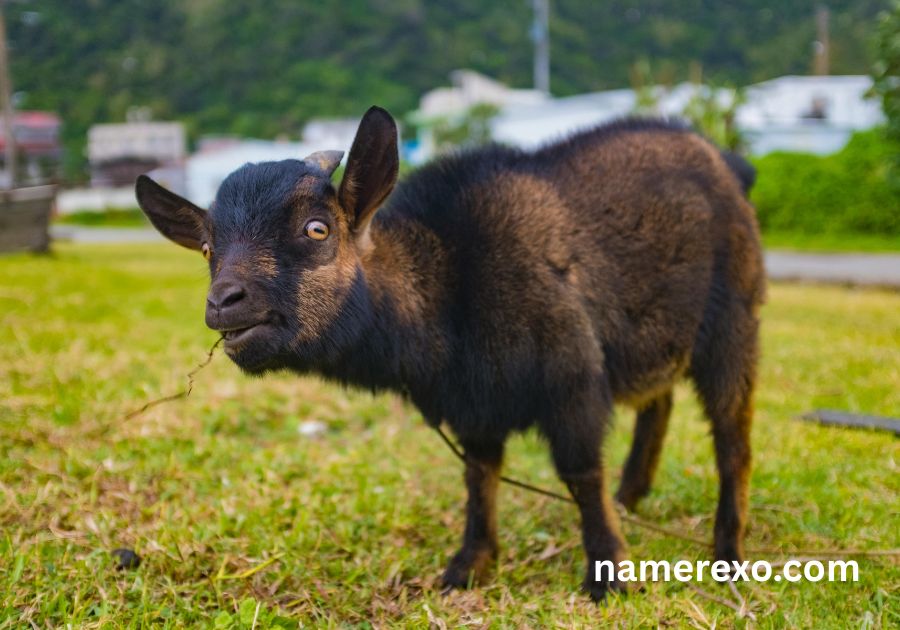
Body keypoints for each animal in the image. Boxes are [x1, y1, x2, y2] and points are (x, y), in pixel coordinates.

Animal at [136, 106, 764, 600]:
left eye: (317, 229)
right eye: (208, 249)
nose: (224, 302)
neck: (450, 283)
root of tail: (726, 163)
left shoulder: (573, 378)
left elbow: (580, 472)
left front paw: (607, 574)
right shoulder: (474, 406)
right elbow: (479, 477)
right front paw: (468, 565)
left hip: (733, 320)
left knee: (732, 439)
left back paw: (726, 552)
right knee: (658, 404)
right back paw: (631, 497)